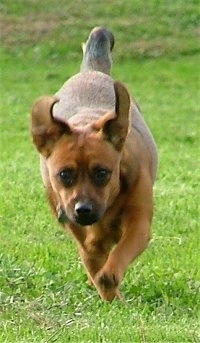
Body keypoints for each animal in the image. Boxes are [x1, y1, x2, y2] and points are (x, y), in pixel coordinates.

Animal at [30, 26, 158, 300]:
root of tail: (91, 71)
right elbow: (93, 258)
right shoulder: (82, 235)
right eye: (64, 174)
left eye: (102, 173)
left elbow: (116, 259)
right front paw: (109, 293)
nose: (84, 209)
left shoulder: (139, 223)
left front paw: (110, 279)